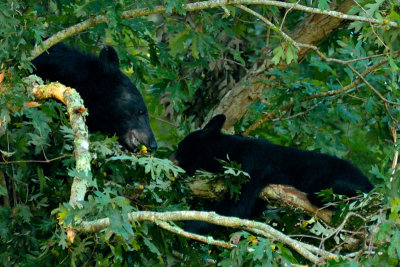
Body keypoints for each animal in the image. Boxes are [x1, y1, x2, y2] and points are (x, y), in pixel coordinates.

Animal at [170, 115, 374, 234]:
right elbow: (251, 208)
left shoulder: (251, 165)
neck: (227, 151)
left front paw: (184, 224)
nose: (170, 158)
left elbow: (235, 207)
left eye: (181, 146)